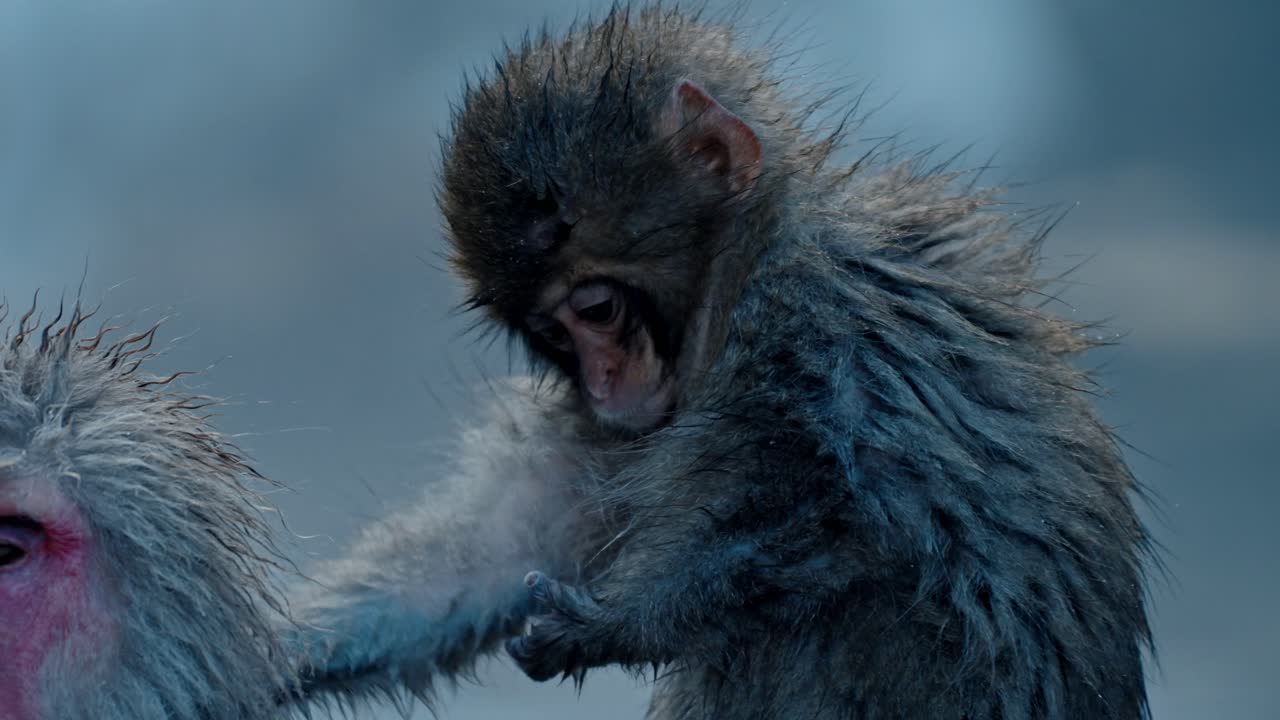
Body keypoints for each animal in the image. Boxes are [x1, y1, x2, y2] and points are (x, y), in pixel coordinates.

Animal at [285, 5, 1155, 719]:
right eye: (552, 333)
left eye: (596, 309)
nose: (607, 384)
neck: (735, 282)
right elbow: (496, 550)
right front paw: (292, 646)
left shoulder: (820, 324)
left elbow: (843, 515)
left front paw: (617, 624)